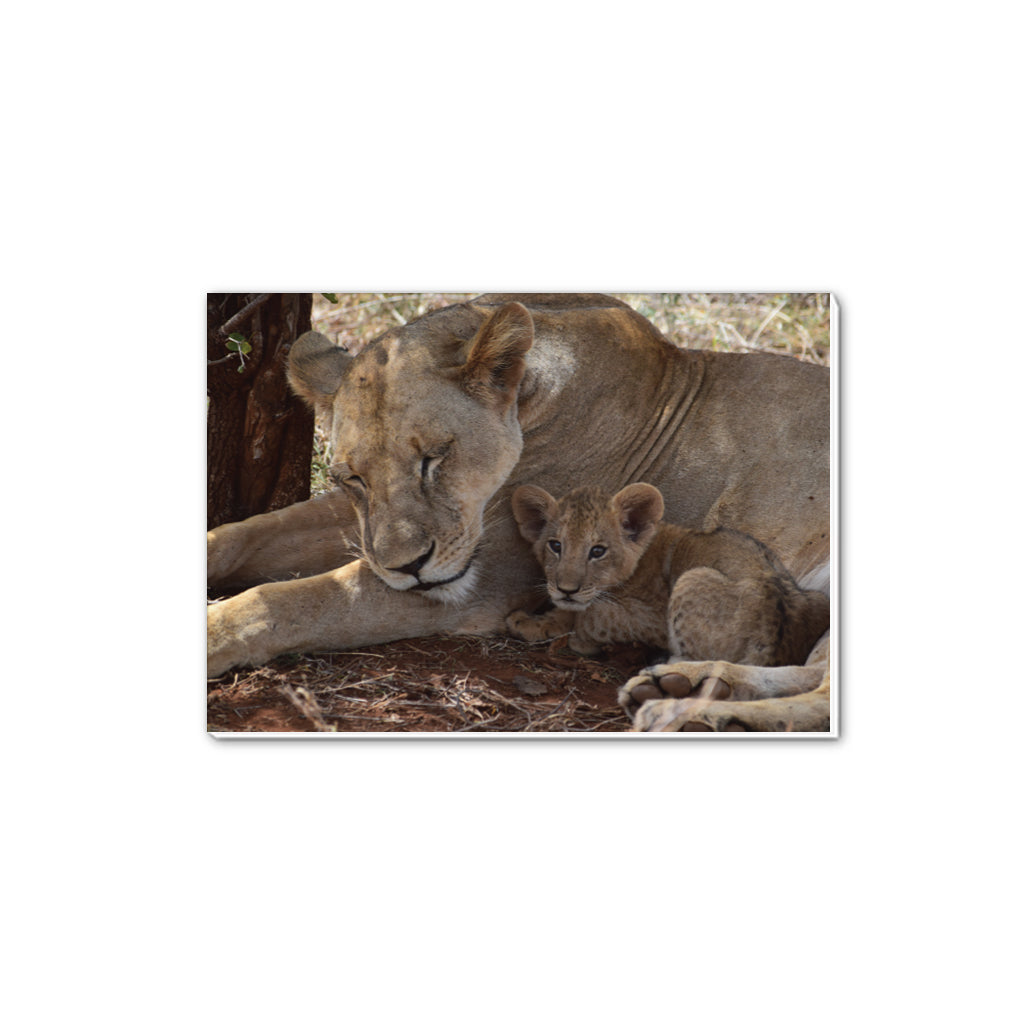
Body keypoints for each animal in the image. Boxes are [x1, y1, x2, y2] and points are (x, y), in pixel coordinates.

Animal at [506, 483, 830, 717]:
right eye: (555, 546)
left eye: (597, 551)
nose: (566, 589)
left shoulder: (653, 617)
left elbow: (592, 615)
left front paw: (543, 626)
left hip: (692, 577)